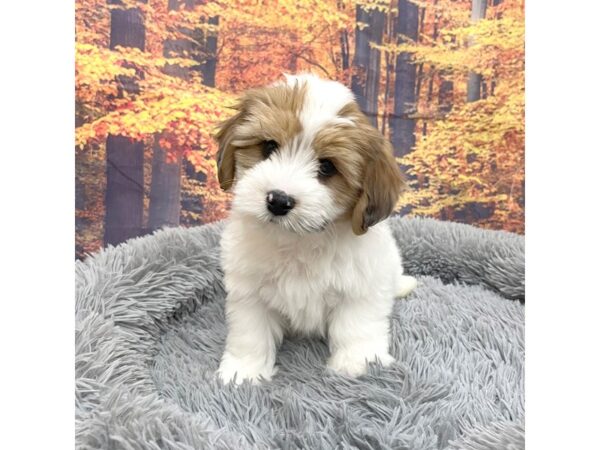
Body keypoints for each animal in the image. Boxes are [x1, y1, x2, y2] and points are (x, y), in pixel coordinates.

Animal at [216, 73, 418, 384]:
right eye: (269, 147)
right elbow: (250, 332)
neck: (300, 239)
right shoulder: (249, 291)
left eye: (327, 167)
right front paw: (245, 371)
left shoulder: (361, 286)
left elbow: (356, 326)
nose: (278, 200)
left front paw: (357, 364)